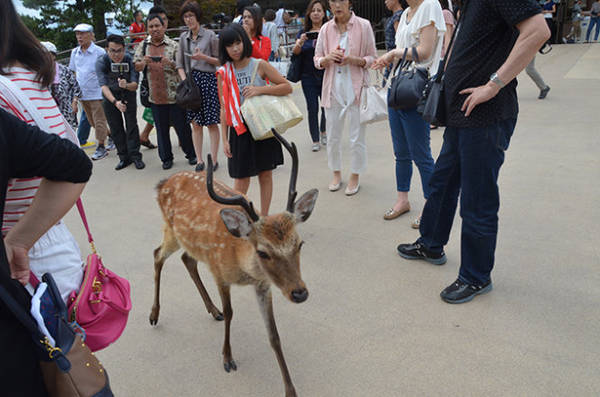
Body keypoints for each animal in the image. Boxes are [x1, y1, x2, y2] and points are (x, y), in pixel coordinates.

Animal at [150, 131, 318, 396]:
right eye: (263, 252)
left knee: (187, 259)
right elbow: (231, 313)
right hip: (171, 231)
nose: (299, 293)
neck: (242, 267)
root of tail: (162, 184)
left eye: (299, 244)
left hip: (189, 243)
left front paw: (290, 390)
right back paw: (154, 315)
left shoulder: (263, 285)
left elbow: (274, 335)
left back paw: (212, 310)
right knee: (157, 254)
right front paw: (227, 359)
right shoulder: (219, 272)